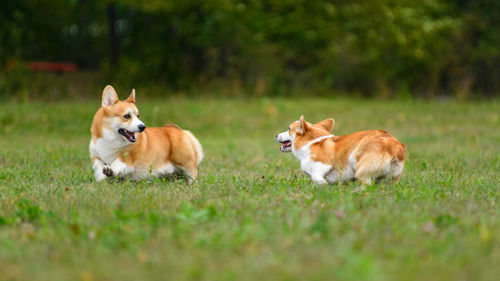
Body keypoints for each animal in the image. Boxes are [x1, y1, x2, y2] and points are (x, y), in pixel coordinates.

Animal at [278, 115, 406, 189]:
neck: (311, 142)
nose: (276, 135)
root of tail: (395, 146)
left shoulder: (323, 164)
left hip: (358, 164)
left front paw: (322, 184)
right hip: (392, 177)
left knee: (367, 185)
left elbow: (316, 177)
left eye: (289, 129)